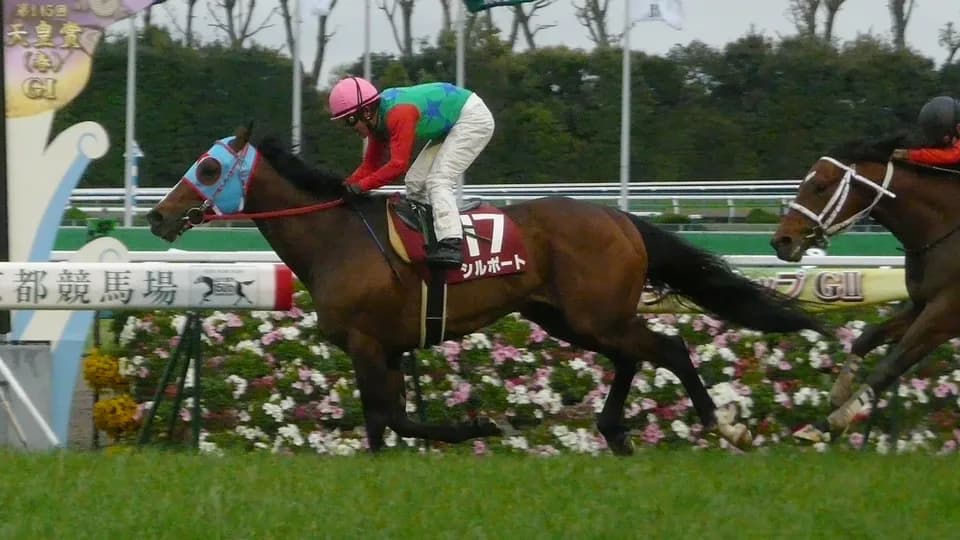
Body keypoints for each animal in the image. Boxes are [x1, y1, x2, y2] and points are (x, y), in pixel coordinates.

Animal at [146, 124, 825, 455]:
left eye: (208, 167)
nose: (157, 216)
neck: (336, 237)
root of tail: (621, 218)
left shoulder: (368, 344)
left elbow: (394, 417)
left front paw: (478, 428)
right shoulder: (386, 349)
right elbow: (383, 423)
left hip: (595, 315)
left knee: (671, 348)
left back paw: (721, 425)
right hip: (570, 318)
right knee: (634, 356)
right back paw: (613, 431)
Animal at [770, 132, 960, 442]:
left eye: (820, 186)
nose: (781, 241)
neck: (946, 228)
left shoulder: (945, 314)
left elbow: (889, 367)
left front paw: (830, 423)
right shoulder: (921, 304)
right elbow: (867, 337)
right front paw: (836, 398)